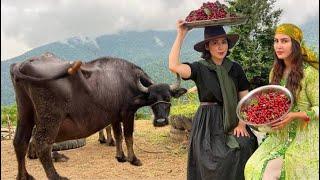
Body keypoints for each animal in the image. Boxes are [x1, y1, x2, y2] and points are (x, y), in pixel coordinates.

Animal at [10, 52, 188, 180]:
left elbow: (118, 135)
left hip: (24, 111)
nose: (161, 121)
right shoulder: (128, 113)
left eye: (168, 97)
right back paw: (56, 176)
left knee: (20, 141)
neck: (128, 81)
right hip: (50, 117)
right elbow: (128, 136)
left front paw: (120, 157)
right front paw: (133, 159)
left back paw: (24, 176)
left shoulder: (115, 116)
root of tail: (22, 64)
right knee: (42, 143)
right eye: (151, 98)